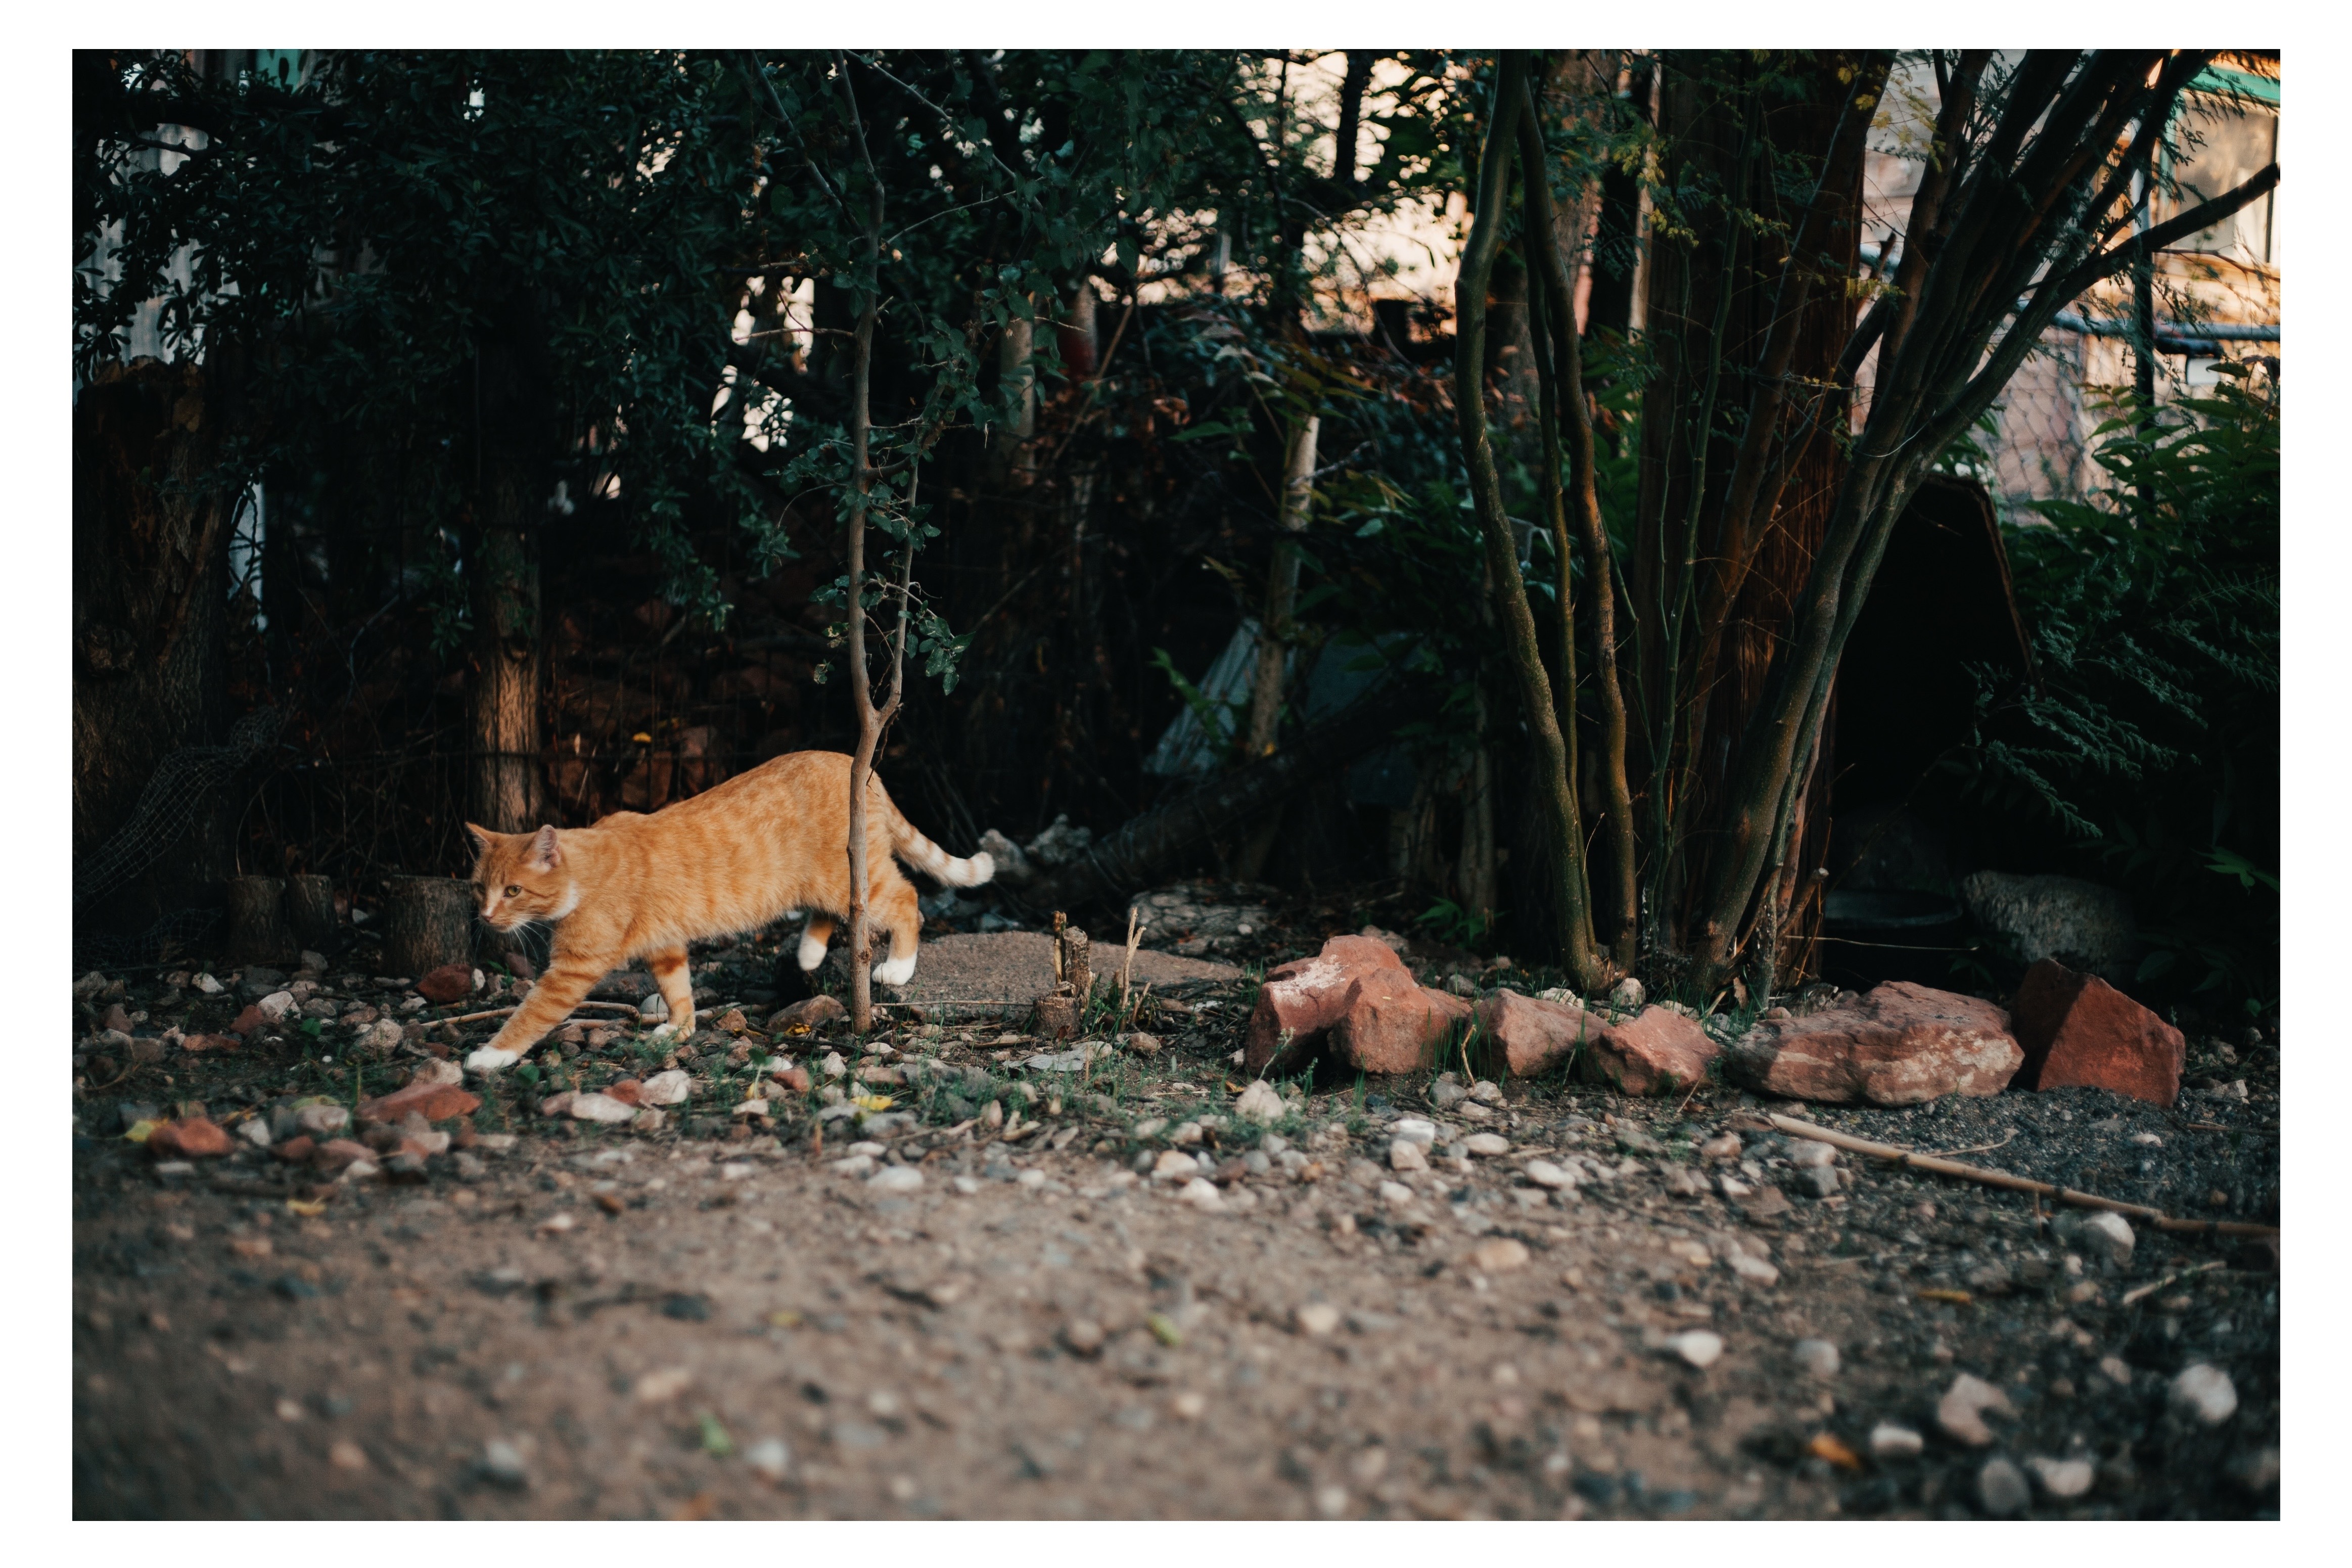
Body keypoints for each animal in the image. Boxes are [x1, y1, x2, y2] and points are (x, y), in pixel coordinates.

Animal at [458, 750, 992, 1072]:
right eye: (479, 887)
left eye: (513, 891)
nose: (486, 917)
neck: (586, 869)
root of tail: (855, 763)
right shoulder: (666, 945)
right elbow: (678, 990)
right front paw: (679, 1029)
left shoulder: (572, 970)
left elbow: (529, 1015)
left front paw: (490, 1056)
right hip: (826, 883)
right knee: (833, 913)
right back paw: (808, 955)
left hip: (851, 877)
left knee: (907, 901)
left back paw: (898, 967)